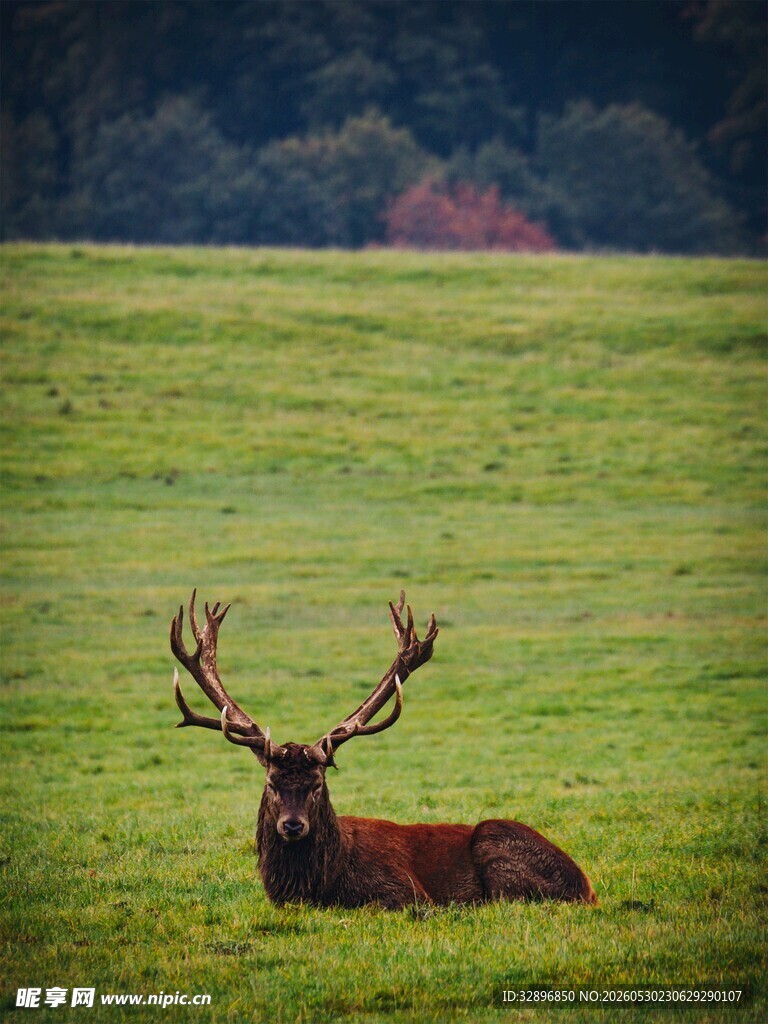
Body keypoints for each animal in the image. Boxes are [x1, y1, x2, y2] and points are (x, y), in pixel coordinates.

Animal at [170, 589, 597, 909]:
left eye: (317, 784)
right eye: (272, 783)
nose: (292, 825)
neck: (319, 885)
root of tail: (586, 888)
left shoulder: (407, 893)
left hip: (497, 842)